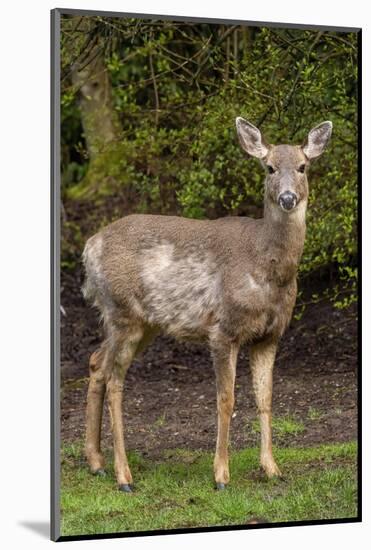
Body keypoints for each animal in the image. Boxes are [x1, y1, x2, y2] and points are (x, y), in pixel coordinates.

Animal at [83, 118, 332, 494]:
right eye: (269, 167)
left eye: (303, 166)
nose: (287, 198)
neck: (267, 268)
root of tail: (89, 247)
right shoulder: (223, 329)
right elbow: (225, 400)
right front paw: (221, 476)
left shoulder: (270, 334)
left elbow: (266, 398)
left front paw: (272, 469)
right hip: (122, 312)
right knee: (114, 379)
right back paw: (123, 476)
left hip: (142, 322)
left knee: (97, 362)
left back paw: (96, 462)